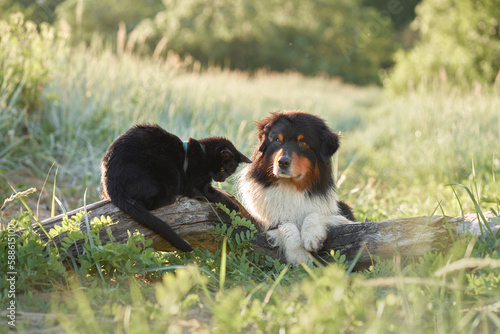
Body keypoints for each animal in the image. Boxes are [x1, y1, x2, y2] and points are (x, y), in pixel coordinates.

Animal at [100, 124, 250, 252]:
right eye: (223, 168)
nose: (222, 178)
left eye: (229, 172)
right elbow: (218, 195)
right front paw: (234, 206)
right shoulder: (197, 186)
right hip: (168, 170)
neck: (203, 154)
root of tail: (111, 178)